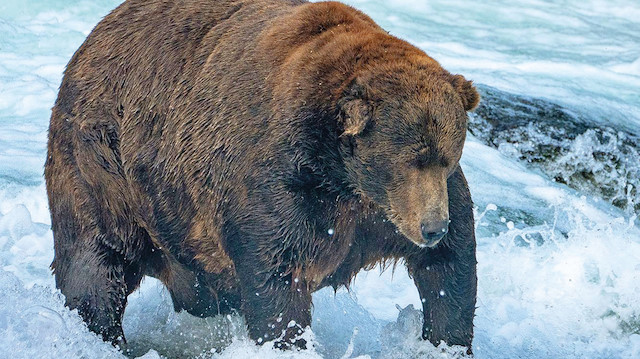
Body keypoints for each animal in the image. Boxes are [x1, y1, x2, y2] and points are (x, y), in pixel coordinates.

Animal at [45, 0, 478, 354]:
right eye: (409, 160)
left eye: (446, 156)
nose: (432, 227)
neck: (342, 175)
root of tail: (93, 36)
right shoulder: (282, 184)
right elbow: (277, 274)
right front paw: (286, 338)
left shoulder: (384, 212)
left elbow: (450, 266)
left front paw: (446, 340)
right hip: (104, 165)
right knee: (96, 260)